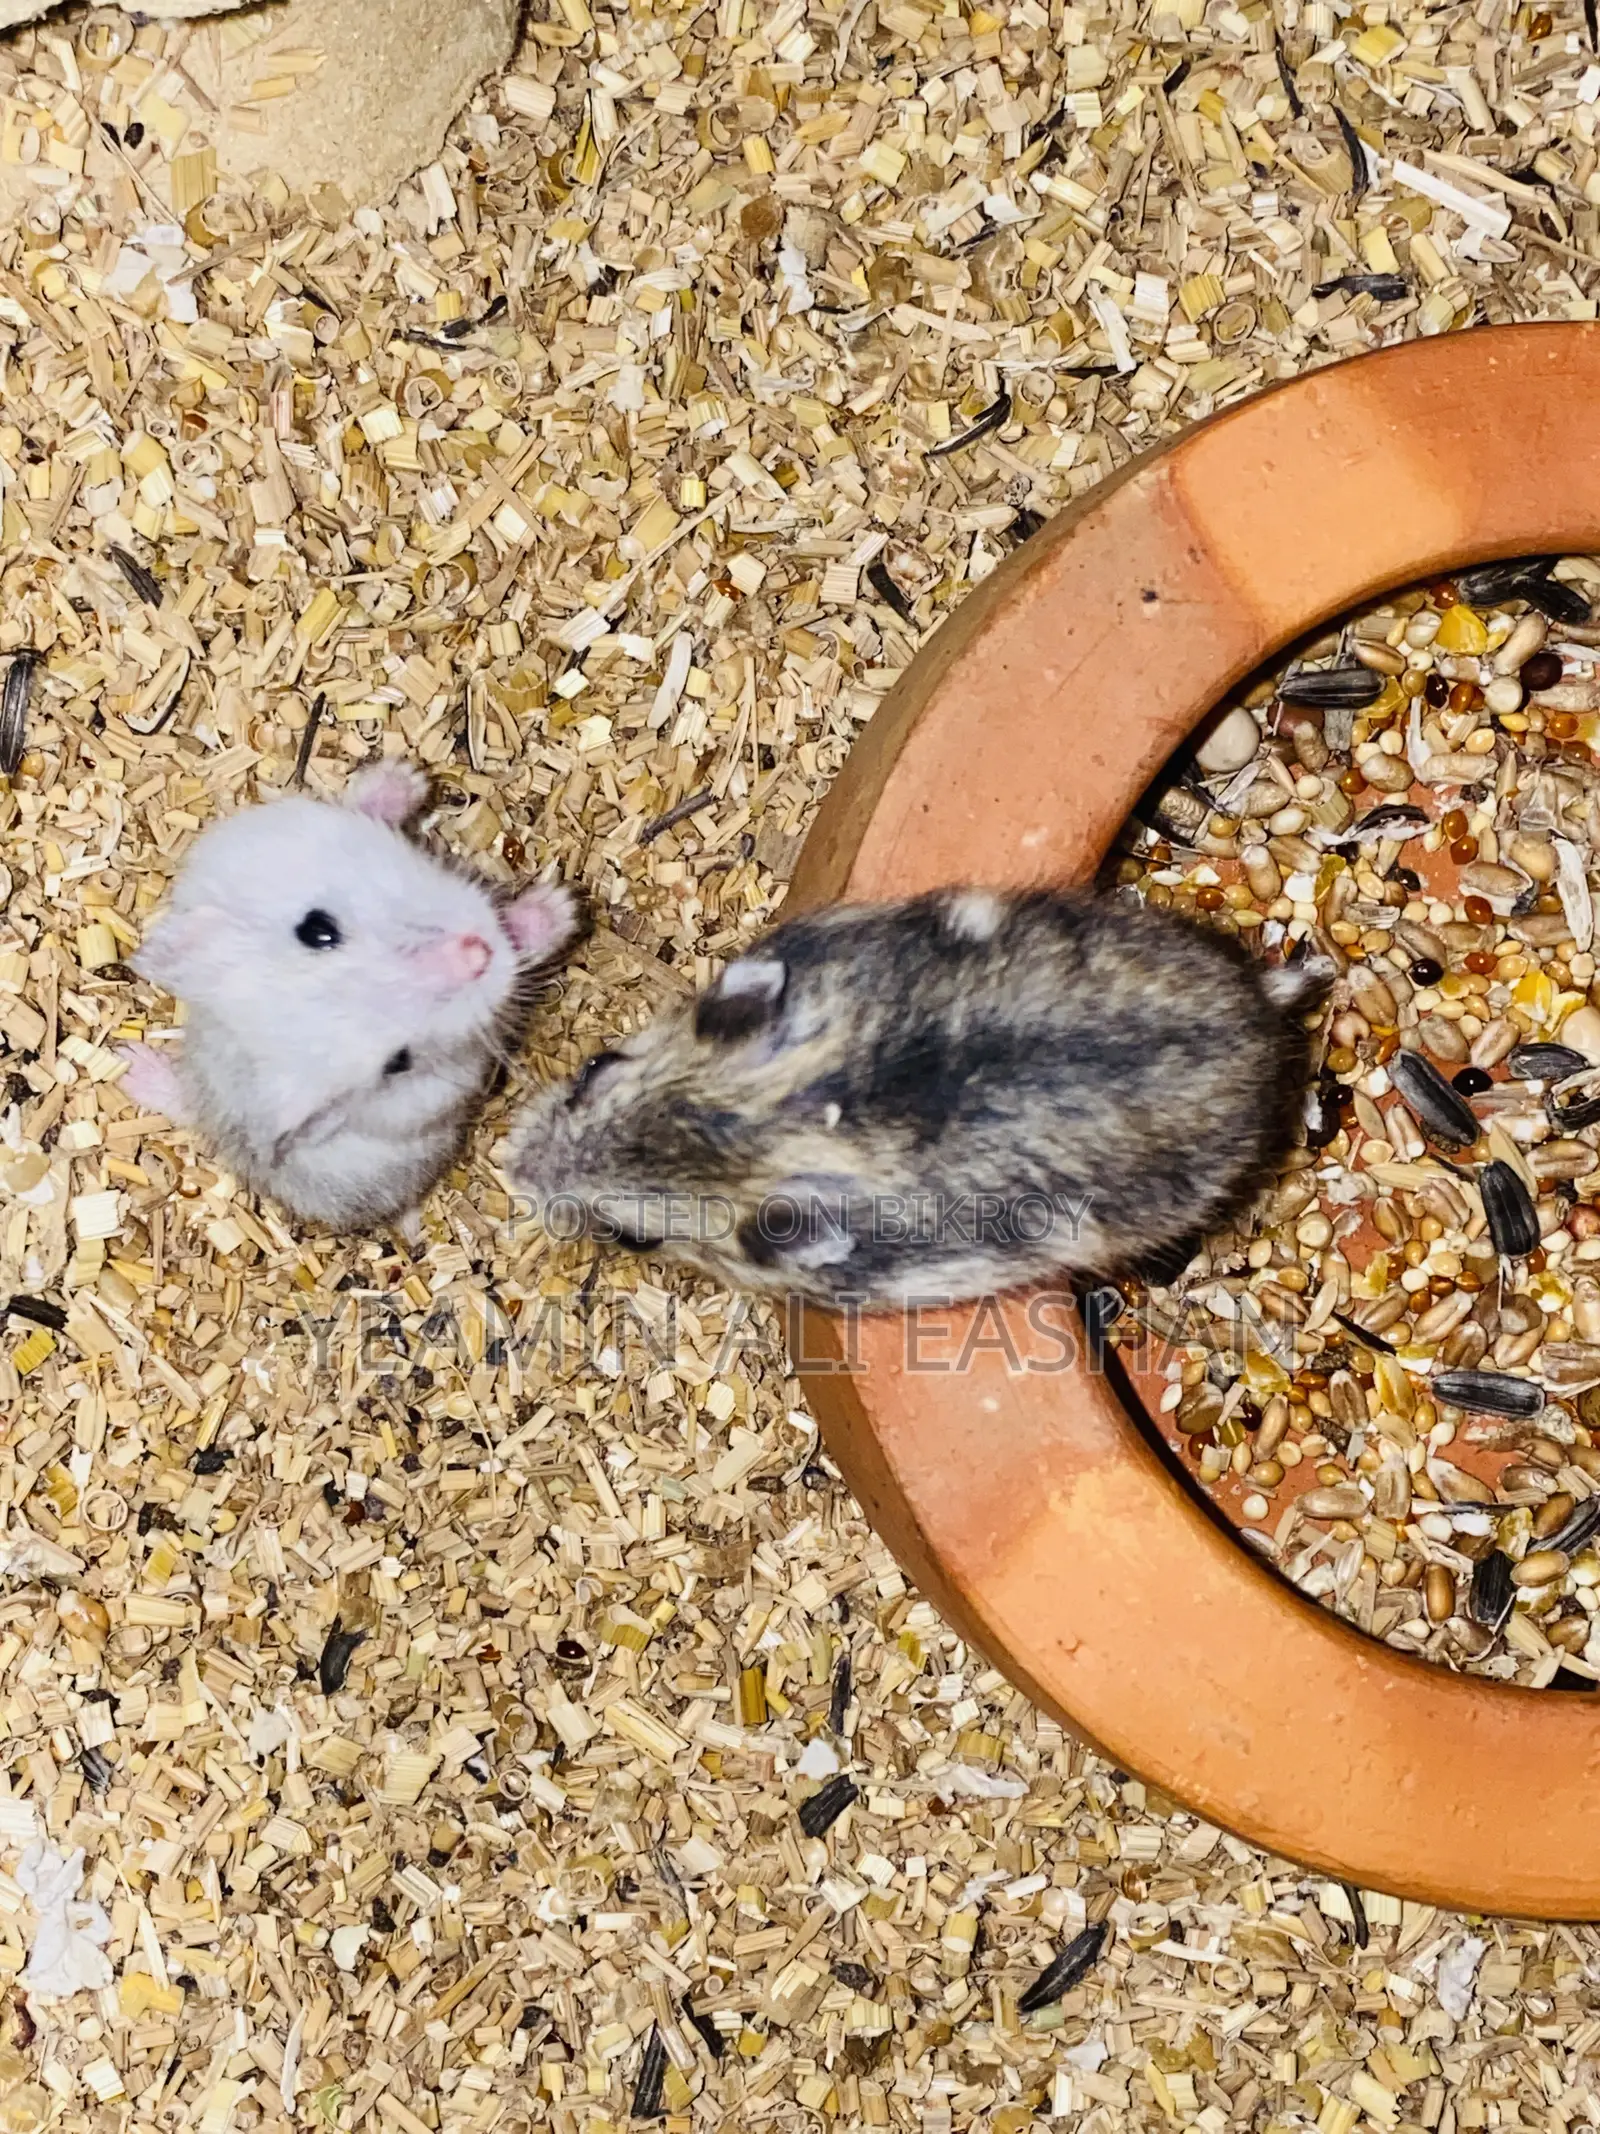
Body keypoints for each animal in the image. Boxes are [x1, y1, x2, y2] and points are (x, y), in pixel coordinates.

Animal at [119, 760, 583, 1233]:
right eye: (397, 1063)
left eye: (318, 929)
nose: (478, 953)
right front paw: (563, 908)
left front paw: (408, 777)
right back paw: (130, 1064)